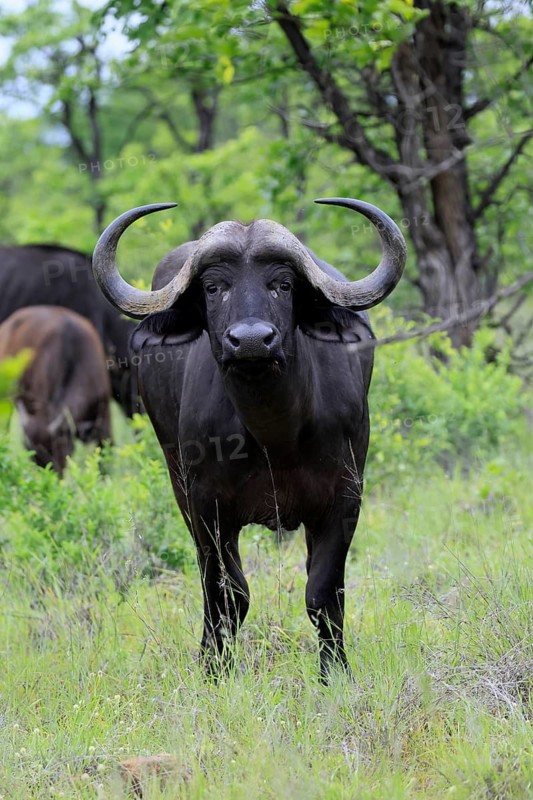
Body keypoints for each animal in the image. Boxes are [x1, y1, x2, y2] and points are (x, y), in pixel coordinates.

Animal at [93, 198, 406, 677]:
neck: (275, 435)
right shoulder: (205, 506)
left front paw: (334, 670)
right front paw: (213, 667)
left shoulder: (346, 498)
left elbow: (323, 590)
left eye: (283, 284)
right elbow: (227, 592)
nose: (252, 341)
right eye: (212, 287)